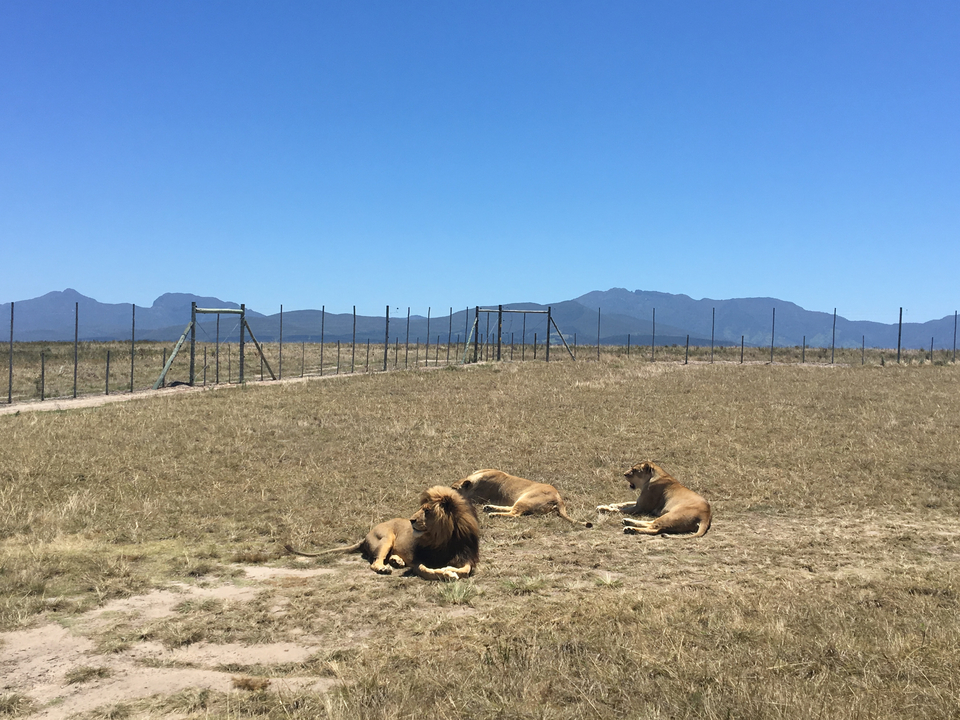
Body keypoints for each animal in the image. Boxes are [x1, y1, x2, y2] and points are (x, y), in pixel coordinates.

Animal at [284, 486, 480, 580]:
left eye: (427, 511)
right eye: (421, 508)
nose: (411, 520)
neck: (443, 538)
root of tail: (365, 536)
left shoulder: (466, 556)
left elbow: (465, 570)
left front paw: (449, 569)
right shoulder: (419, 562)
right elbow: (428, 571)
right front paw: (447, 573)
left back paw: (396, 560)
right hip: (385, 537)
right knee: (375, 562)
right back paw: (384, 567)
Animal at [452, 469, 593, 528]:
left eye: (453, 489)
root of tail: (559, 499)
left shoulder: (478, 497)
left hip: (526, 498)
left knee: (514, 513)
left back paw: (492, 513)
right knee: (511, 509)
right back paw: (489, 508)